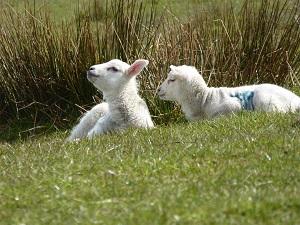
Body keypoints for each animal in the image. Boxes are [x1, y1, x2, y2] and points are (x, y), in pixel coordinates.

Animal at [157, 64, 300, 121]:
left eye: (171, 80)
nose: (158, 90)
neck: (204, 100)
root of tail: (295, 98)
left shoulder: (232, 105)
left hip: (263, 98)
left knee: (278, 113)